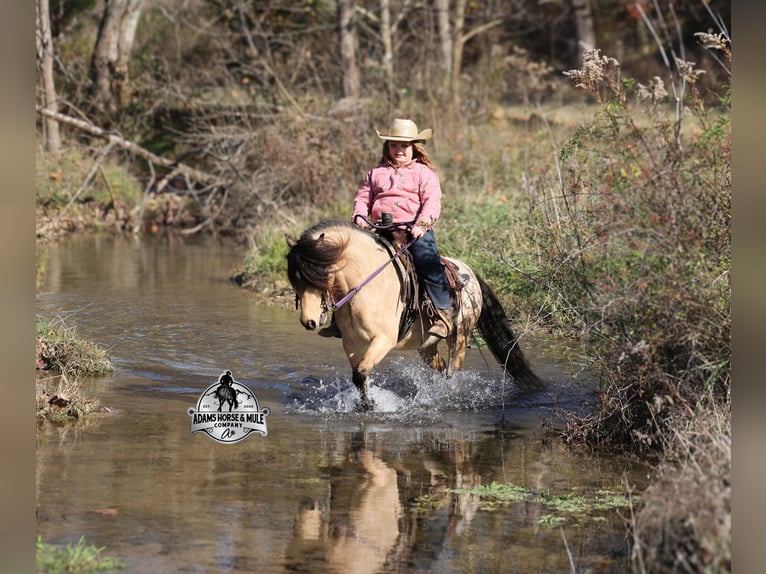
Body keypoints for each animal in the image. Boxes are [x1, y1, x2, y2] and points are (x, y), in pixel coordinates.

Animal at [285, 219, 543, 410]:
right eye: (295, 281)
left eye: (321, 275)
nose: (309, 322)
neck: (367, 282)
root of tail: (470, 272)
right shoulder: (351, 343)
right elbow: (360, 375)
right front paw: (364, 404)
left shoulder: (384, 340)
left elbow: (360, 374)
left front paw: (371, 406)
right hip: (426, 346)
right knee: (440, 366)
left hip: (460, 337)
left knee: (453, 371)